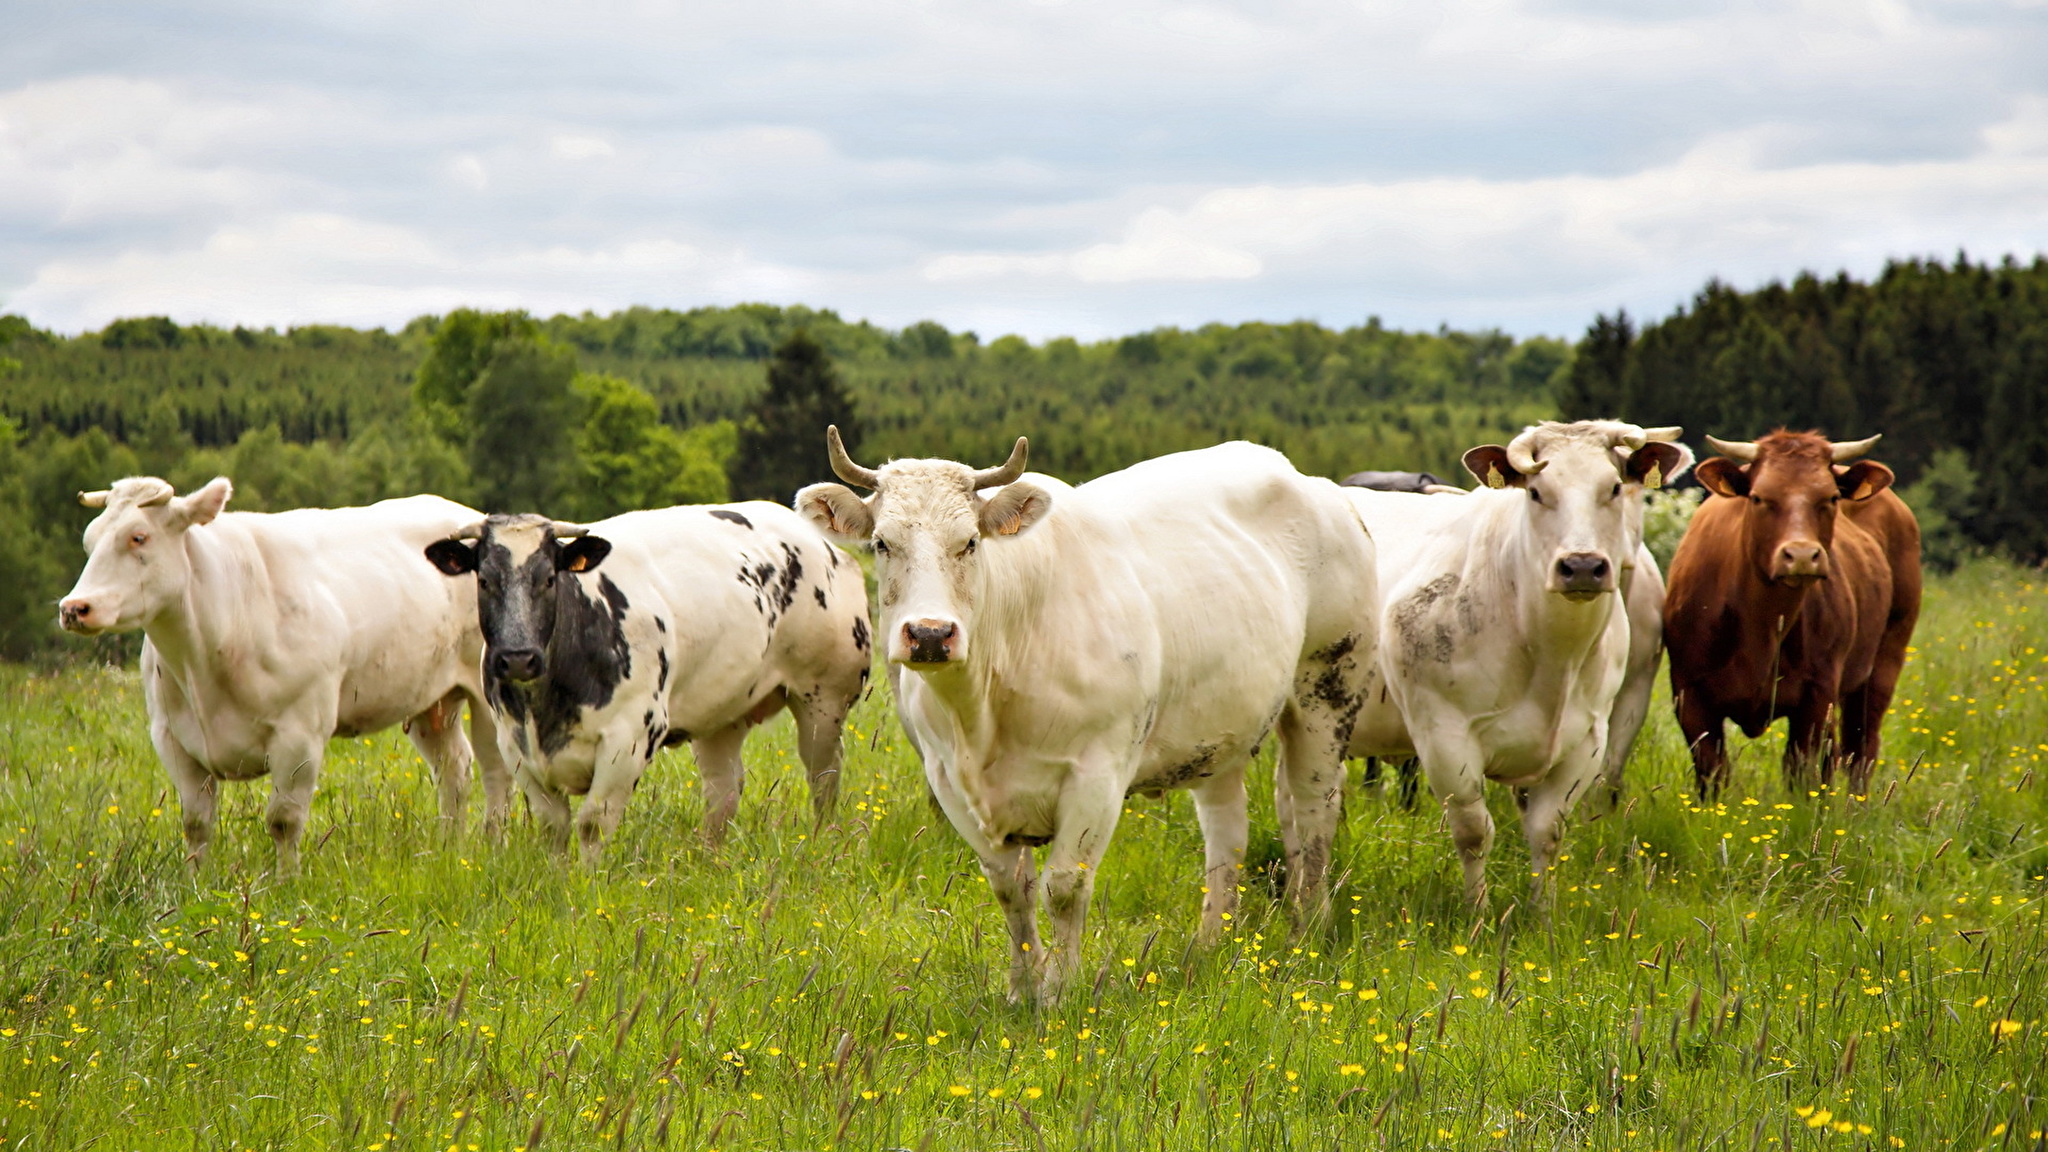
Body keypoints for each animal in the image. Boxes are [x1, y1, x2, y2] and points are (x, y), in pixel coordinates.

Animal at [57, 475, 512, 869]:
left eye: (139, 536)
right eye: (89, 540)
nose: (74, 607)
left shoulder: (300, 734)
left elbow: (283, 822)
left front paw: (285, 885)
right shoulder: (171, 737)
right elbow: (196, 824)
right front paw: (194, 885)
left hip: (490, 695)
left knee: (496, 770)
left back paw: (493, 847)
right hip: (429, 698)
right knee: (454, 768)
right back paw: (450, 848)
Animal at [423, 498, 872, 856]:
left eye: (549, 578)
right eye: (484, 580)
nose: (518, 659)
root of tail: (823, 545)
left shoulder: (630, 739)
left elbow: (592, 824)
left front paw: (584, 893)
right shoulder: (515, 746)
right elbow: (555, 829)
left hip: (824, 702)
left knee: (824, 779)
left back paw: (822, 844)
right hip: (721, 715)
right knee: (723, 791)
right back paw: (707, 860)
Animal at [794, 430, 1376, 996]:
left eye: (970, 542)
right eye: (881, 543)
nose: (932, 635)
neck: (983, 710)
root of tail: (1310, 482)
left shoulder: (1098, 774)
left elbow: (1064, 889)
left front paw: (1062, 991)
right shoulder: (950, 781)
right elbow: (1012, 890)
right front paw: (1023, 991)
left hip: (1328, 687)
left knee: (1314, 811)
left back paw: (1308, 931)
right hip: (1222, 728)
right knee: (1227, 832)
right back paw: (1209, 945)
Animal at [1335, 422, 1687, 906]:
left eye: (1615, 487)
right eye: (1536, 492)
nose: (1581, 566)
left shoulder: (1588, 740)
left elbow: (1547, 832)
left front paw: (1543, 914)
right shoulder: (1444, 737)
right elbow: (1473, 833)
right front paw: (1478, 913)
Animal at [1662, 426, 1916, 795]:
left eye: (1831, 498)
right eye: (1758, 497)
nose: (1801, 555)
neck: (1762, 624)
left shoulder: (1817, 695)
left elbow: (1802, 772)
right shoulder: (1691, 696)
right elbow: (1713, 773)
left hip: (1883, 662)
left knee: (1860, 749)